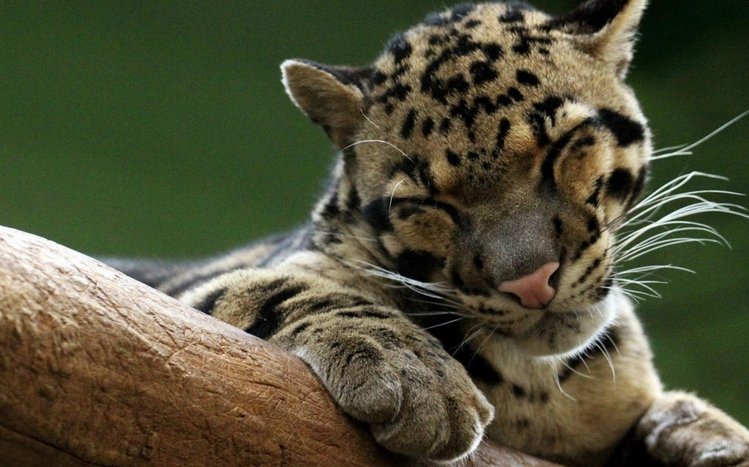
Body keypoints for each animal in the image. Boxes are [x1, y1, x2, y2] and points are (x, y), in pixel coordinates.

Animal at [107, 1, 749, 465]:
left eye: (563, 147)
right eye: (425, 202)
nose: (532, 283)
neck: (539, 388)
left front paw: (709, 429)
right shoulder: (180, 291)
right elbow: (280, 287)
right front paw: (414, 373)